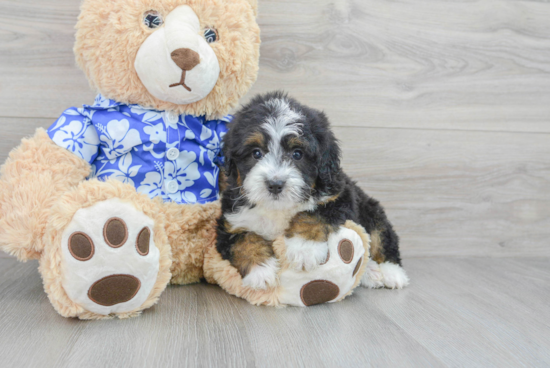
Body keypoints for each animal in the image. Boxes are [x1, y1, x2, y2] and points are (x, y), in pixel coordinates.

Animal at [217, 92, 410, 290]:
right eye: (256, 153)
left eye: (297, 154)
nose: (275, 184)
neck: (278, 208)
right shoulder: (230, 222)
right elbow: (243, 240)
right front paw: (260, 271)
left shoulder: (339, 196)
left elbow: (312, 214)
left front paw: (304, 249)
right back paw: (371, 272)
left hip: (372, 210)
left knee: (382, 237)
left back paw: (390, 273)